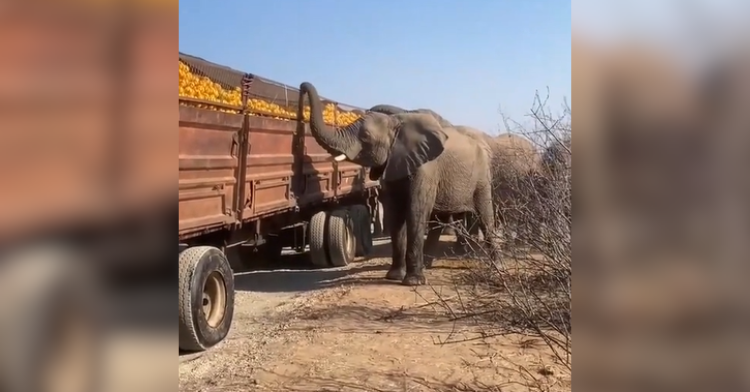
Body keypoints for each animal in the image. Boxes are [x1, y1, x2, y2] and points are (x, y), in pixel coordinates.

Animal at [300, 82, 500, 284]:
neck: (397, 125)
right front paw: (394, 277)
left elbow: (415, 210)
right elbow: (395, 213)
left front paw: (413, 282)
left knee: (485, 216)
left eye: (366, 136)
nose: (302, 88)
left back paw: (496, 268)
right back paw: (427, 265)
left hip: (482, 177)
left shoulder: (426, 167)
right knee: (438, 219)